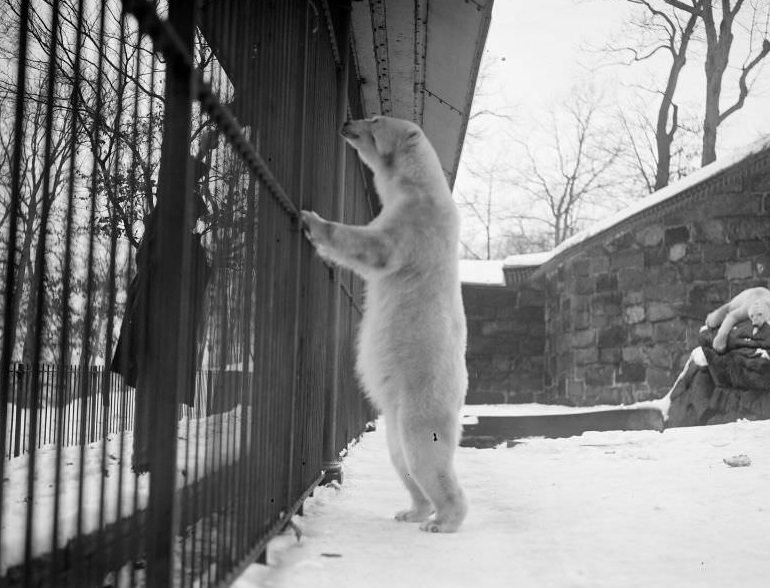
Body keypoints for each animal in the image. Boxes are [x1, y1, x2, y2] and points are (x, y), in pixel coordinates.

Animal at [300, 115, 468, 533]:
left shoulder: (415, 222)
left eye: (374, 121)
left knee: (424, 453)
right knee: (400, 458)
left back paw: (442, 520)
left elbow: (374, 247)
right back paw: (412, 510)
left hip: (422, 397)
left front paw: (313, 221)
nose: (347, 122)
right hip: (397, 414)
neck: (420, 184)